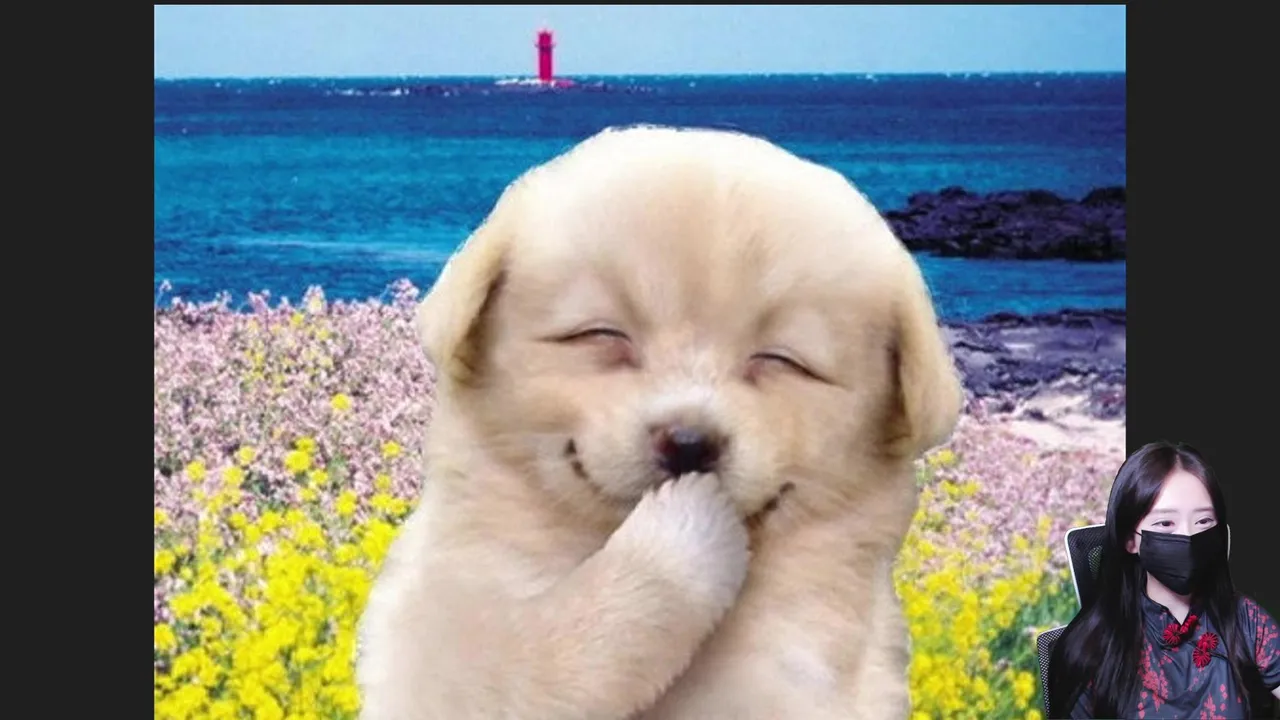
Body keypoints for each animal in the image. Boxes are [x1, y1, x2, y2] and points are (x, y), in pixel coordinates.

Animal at [356, 124, 963, 719]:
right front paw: (683, 531)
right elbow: (549, 644)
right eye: (600, 334)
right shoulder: (444, 645)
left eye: (783, 361)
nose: (689, 444)